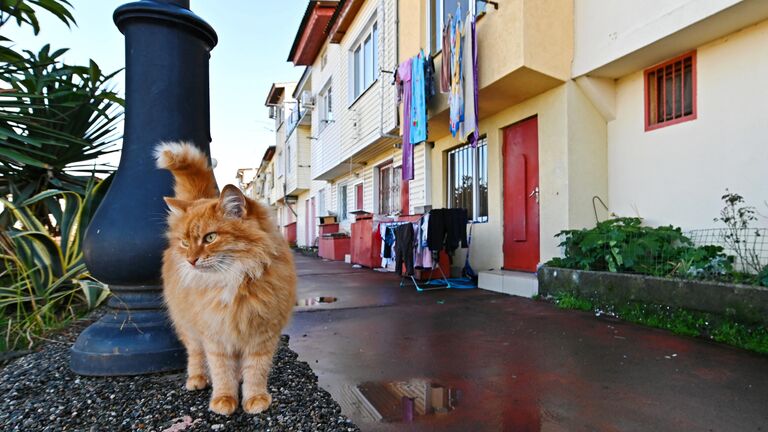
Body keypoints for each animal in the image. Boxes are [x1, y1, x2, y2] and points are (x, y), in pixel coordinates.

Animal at [154, 142, 296, 416]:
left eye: (210, 238)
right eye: (185, 243)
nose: (191, 260)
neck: (236, 279)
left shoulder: (261, 334)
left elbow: (256, 371)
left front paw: (254, 399)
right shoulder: (215, 335)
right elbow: (221, 372)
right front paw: (223, 400)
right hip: (187, 327)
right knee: (195, 354)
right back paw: (197, 379)